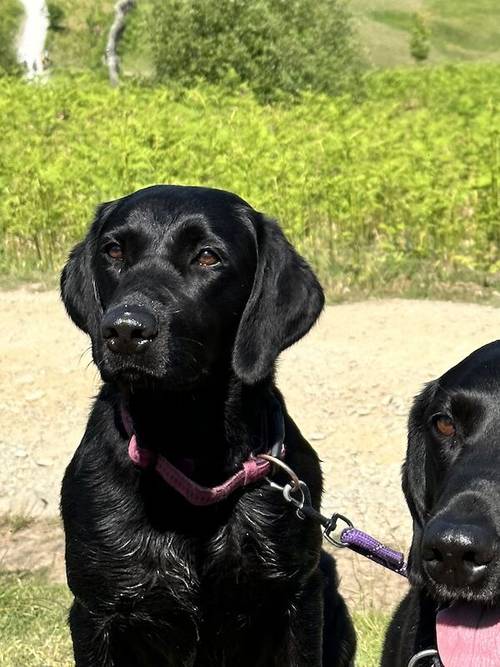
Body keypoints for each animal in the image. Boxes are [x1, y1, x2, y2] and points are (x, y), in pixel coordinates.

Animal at [59, 184, 356, 667]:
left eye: (207, 257)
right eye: (114, 251)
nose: (124, 330)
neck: (192, 447)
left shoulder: (296, 599)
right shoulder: (94, 613)